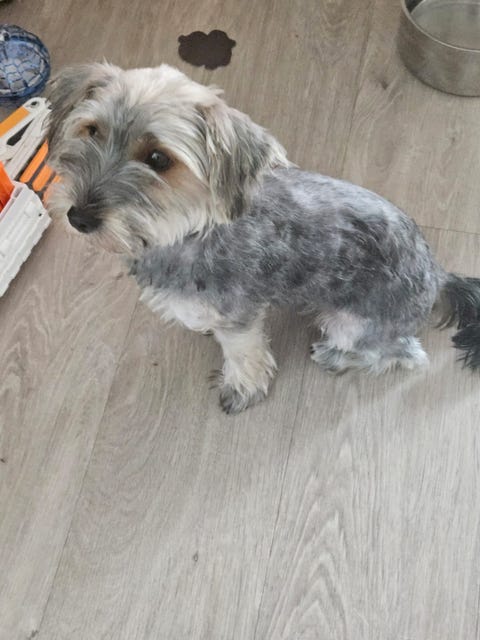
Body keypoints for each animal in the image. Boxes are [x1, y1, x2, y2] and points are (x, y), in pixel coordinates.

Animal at [46, 63, 480, 414]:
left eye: (158, 159)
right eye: (92, 130)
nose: (78, 217)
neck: (190, 229)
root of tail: (439, 275)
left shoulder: (239, 317)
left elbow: (244, 355)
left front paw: (243, 388)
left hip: (352, 322)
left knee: (406, 355)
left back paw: (337, 357)